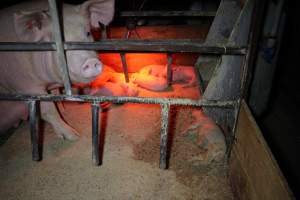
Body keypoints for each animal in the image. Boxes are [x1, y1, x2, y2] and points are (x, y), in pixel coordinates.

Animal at [0, 0, 115, 140]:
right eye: (56, 40)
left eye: (88, 33)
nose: (91, 61)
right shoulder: (24, 85)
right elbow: (48, 110)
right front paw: (73, 136)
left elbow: (56, 97)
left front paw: (64, 110)